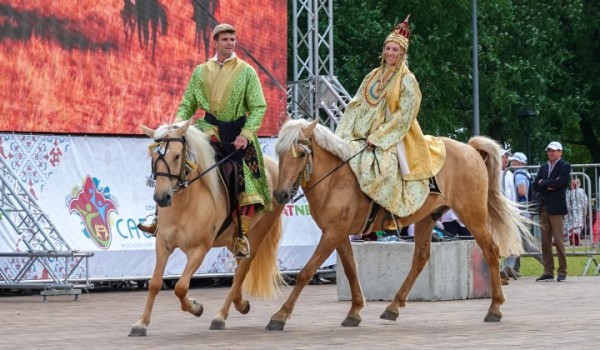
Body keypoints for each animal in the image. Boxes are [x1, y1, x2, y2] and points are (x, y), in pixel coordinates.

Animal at [129, 120, 284, 336]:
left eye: (176, 156)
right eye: (153, 156)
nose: (162, 197)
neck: (185, 203)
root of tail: (273, 166)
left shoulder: (199, 249)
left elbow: (181, 287)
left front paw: (196, 307)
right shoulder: (163, 245)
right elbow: (155, 283)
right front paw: (141, 322)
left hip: (258, 233)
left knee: (241, 272)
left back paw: (220, 316)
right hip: (231, 240)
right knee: (238, 267)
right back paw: (241, 304)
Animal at [270, 119, 528, 330]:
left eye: (300, 153)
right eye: (280, 153)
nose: (281, 194)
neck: (335, 179)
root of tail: (470, 149)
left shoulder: (332, 233)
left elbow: (306, 272)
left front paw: (280, 315)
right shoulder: (338, 233)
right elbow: (351, 269)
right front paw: (354, 311)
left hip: (473, 214)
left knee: (491, 251)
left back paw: (495, 308)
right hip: (427, 218)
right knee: (421, 257)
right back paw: (393, 307)